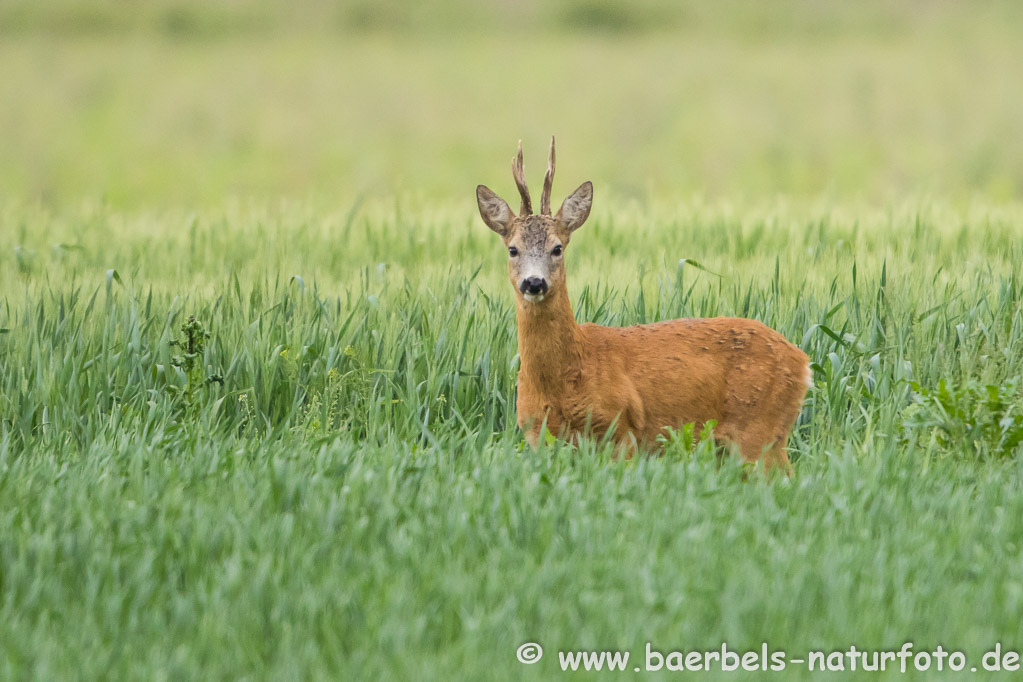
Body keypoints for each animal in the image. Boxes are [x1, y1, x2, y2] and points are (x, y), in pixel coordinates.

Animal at [474, 137, 810, 470]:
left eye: (557, 248)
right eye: (513, 249)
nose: (534, 283)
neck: (565, 377)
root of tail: (803, 362)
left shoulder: (621, 429)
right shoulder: (535, 433)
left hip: (761, 431)